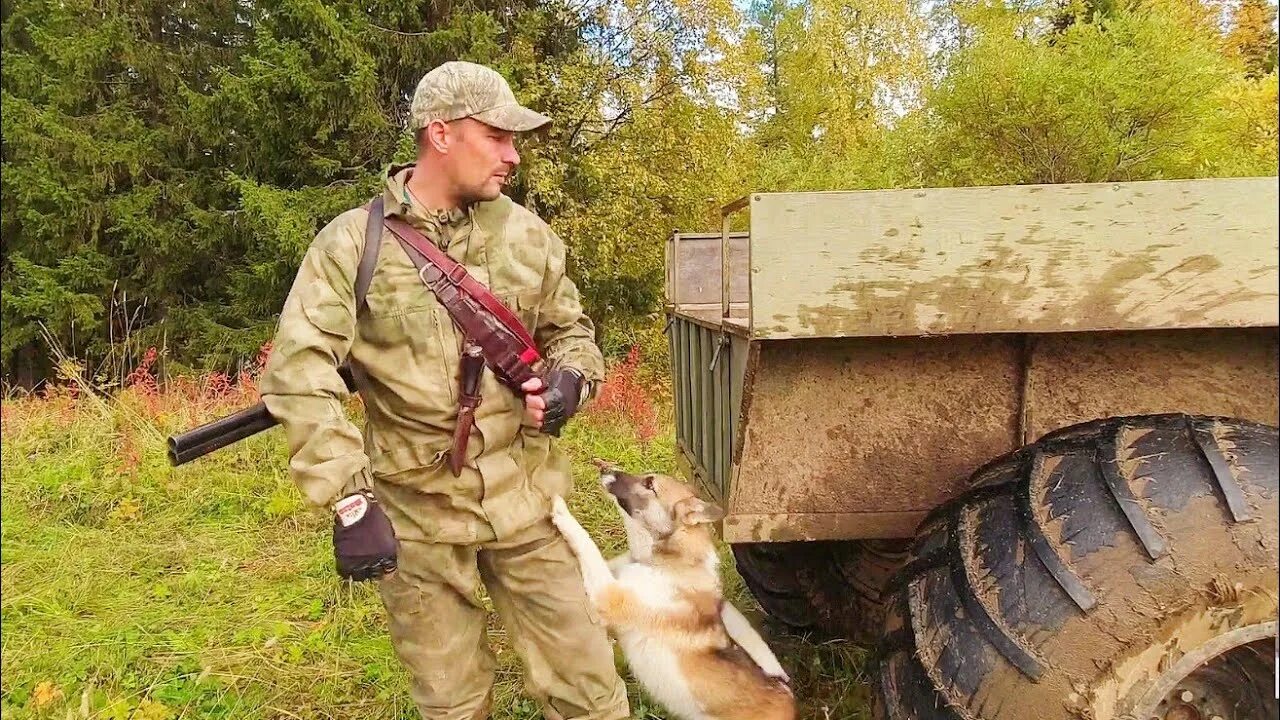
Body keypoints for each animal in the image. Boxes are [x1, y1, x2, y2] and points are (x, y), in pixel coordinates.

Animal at [552, 458, 793, 717]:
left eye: (650, 484)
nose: (604, 467)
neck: (666, 563)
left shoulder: (609, 595)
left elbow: (586, 543)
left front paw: (561, 510)